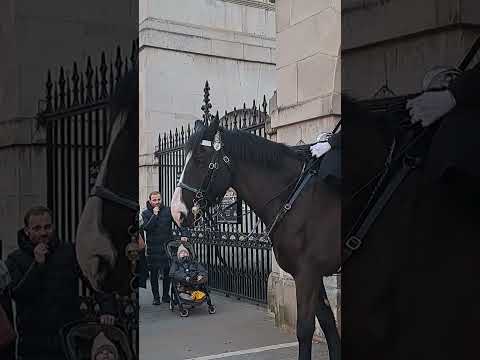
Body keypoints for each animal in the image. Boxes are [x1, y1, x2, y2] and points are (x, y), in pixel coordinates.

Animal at [171, 117, 340, 360]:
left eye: (200, 158)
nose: (177, 212)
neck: (295, 197)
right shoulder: (313, 274)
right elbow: (327, 322)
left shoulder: (306, 274)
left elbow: (305, 329)